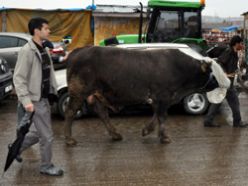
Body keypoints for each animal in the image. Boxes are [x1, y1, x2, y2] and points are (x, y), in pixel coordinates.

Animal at [64, 45, 221, 145]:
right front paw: (164, 137)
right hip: (78, 92)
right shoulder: (163, 96)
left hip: (97, 93)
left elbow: (157, 115)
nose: (217, 82)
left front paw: (147, 130)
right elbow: (162, 116)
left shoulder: (159, 99)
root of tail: (79, 50)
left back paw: (115, 135)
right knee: (70, 112)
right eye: (209, 72)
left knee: (102, 113)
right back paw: (69, 139)